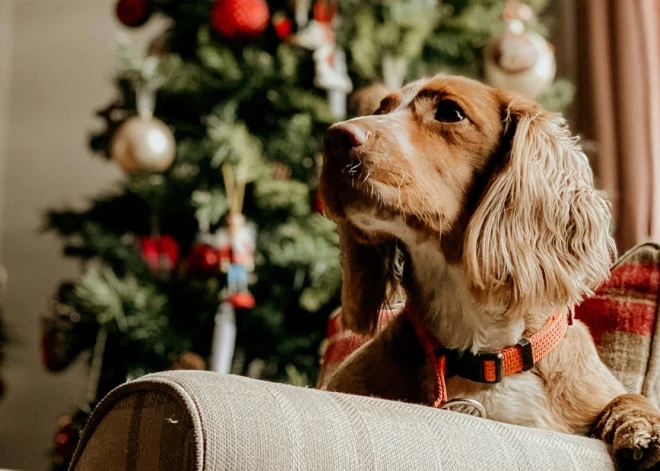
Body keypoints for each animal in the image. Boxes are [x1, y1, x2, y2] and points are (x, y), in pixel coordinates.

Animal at [318, 75, 660, 470]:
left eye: (450, 112)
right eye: (381, 109)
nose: (334, 137)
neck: (481, 352)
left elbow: (628, 398)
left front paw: (643, 427)